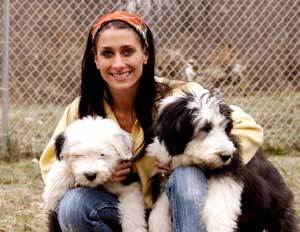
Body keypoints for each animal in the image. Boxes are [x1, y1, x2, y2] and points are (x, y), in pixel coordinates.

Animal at [146, 91, 298, 232]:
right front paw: (158, 224)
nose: (226, 155)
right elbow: (159, 209)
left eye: (225, 128)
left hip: (276, 212)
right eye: (205, 128)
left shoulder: (229, 171)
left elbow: (218, 205)